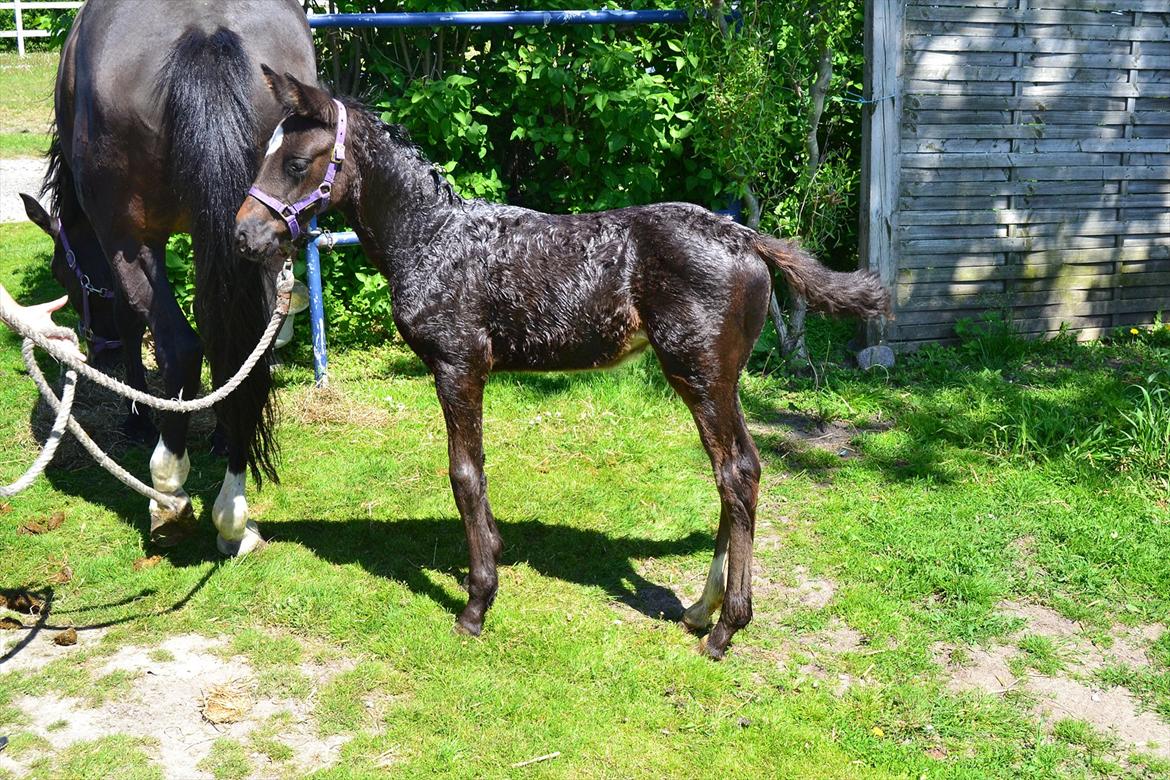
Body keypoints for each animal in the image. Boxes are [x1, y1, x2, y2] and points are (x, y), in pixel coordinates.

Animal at [49, 0, 315, 551]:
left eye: (64, 273)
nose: (98, 350)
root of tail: (206, 30)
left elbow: (132, 321)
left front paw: (137, 418)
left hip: (130, 239)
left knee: (180, 347)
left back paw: (168, 493)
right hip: (263, 230)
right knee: (246, 349)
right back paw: (233, 510)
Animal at [235, 73, 893, 659]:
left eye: (296, 163)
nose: (244, 235)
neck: (433, 241)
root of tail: (749, 239)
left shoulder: (457, 366)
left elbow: (464, 474)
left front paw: (477, 604)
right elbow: (478, 472)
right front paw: (492, 561)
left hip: (700, 374)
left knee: (734, 474)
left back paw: (726, 629)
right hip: (720, 380)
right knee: (744, 468)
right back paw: (701, 609)